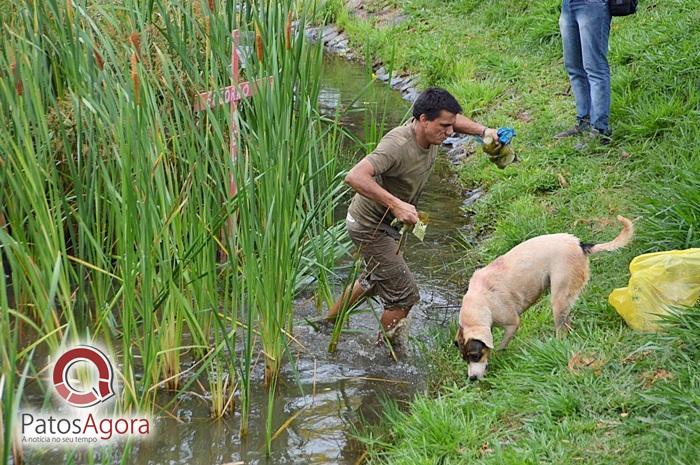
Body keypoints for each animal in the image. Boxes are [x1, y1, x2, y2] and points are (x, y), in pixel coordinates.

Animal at [456, 216, 632, 378]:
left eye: (475, 356)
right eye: (464, 358)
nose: (472, 379)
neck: (479, 302)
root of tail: (579, 244)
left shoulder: (512, 324)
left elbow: (501, 345)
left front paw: (498, 356)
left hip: (559, 296)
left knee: (561, 328)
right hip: (564, 299)